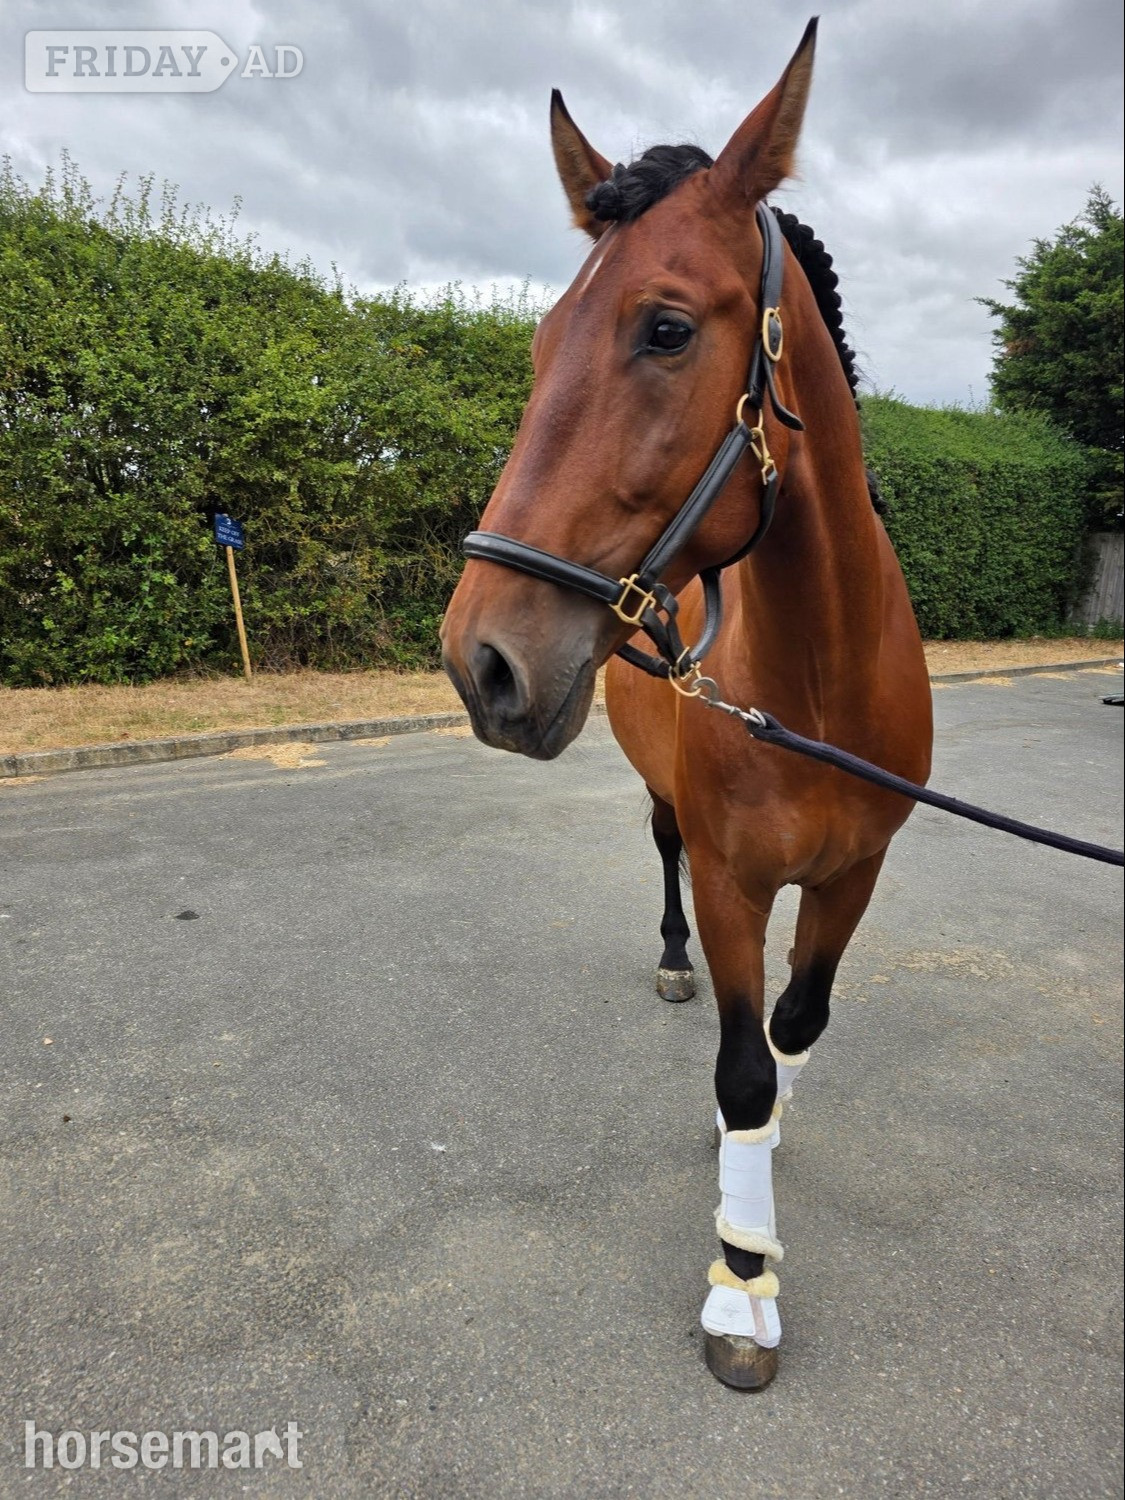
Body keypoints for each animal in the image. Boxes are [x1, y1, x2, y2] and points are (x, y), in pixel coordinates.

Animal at [440, 18, 933, 1390]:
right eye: (540, 344)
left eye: (664, 330)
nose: (481, 659)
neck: (822, 678)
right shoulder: (729, 877)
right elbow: (743, 1062)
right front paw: (740, 1283)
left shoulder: (855, 873)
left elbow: (793, 1029)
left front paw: (748, 1175)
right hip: (663, 801)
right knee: (657, 851)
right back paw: (666, 966)